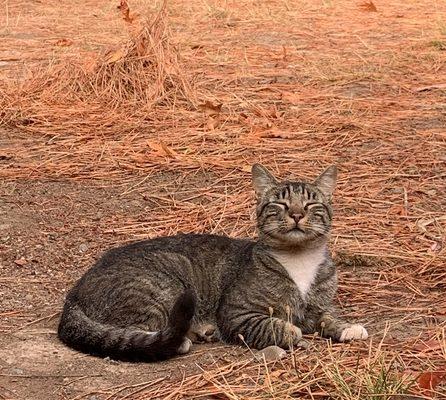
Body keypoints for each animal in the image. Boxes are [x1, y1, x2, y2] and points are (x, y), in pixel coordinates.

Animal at [57, 165, 368, 362]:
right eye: (280, 205)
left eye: (311, 205)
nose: (296, 215)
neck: (299, 258)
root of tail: (74, 292)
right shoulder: (238, 314)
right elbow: (277, 326)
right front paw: (293, 333)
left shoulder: (320, 306)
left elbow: (328, 317)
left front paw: (347, 327)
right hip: (161, 285)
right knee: (134, 329)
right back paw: (181, 339)